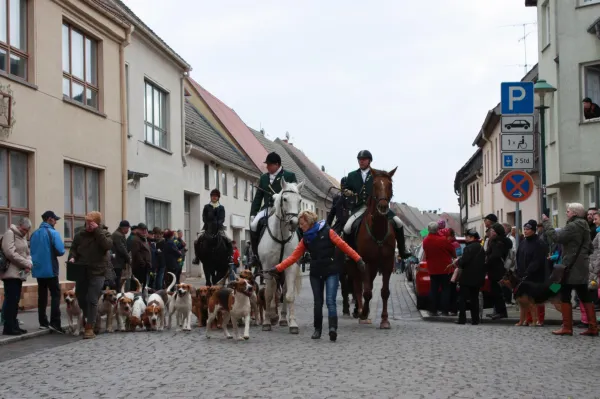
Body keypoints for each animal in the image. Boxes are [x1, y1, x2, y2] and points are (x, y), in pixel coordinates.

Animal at [258, 179, 304, 334]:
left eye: (300, 200)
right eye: (285, 199)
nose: (294, 223)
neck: (281, 237)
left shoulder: (290, 266)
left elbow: (289, 295)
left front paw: (293, 323)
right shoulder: (267, 268)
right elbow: (268, 294)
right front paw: (267, 322)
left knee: (283, 290)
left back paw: (283, 318)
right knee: (273, 290)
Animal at [346, 167, 398, 330]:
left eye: (390, 185)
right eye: (374, 185)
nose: (382, 206)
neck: (378, 230)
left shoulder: (387, 263)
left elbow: (385, 292)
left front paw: (385, 320)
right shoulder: (365, 263)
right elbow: (367, 292)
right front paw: (364, 313)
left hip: (375, 267)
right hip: (354, 265)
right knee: (358, 287)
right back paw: (360, 311)